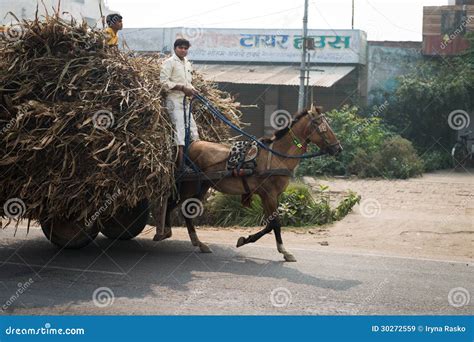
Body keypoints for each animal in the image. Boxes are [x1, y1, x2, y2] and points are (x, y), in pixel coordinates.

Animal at [152, 105, 340, 262]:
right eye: (324, 127)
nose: (339, 148)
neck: (277, 156)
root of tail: (190, 145)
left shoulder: (269, 196)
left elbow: (270, 225)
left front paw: (245, 240)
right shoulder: (269, 195)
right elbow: (275, 224)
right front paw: (284, 251)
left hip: (202, 187)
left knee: (184, 210)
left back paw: (195, 242)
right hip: (189, 186)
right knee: (174, 205)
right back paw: (167, 233)